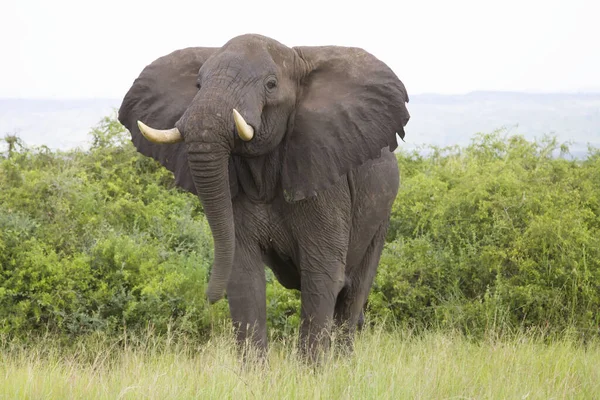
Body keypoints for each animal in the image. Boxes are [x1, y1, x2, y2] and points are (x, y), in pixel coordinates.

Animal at [117, 33, 410, 360]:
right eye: (198, 84)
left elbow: (321, 276)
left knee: (351, 298)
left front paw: (312, 372)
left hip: (381, 217)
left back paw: (343, 364)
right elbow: (244, 278)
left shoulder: (325, 180)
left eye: (271, 84)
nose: (208, 298)